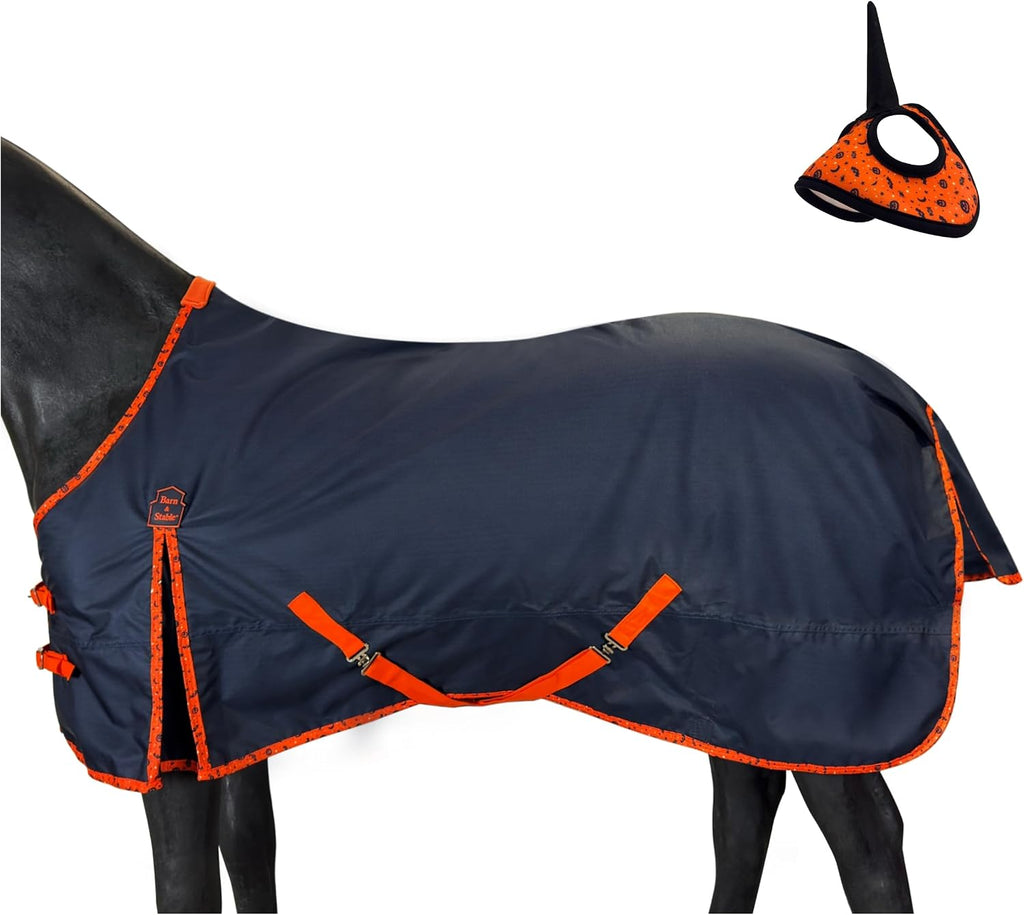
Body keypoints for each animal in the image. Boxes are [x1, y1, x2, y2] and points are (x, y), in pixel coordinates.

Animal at [2, 136, 1014, 914]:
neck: (114, 383)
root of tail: (897, 393)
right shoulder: (222, 699)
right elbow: (252, 856)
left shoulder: (155, 720)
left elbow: (184, 883)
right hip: (734, 675)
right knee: (744, 808)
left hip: (821, 686)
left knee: (868, 843)